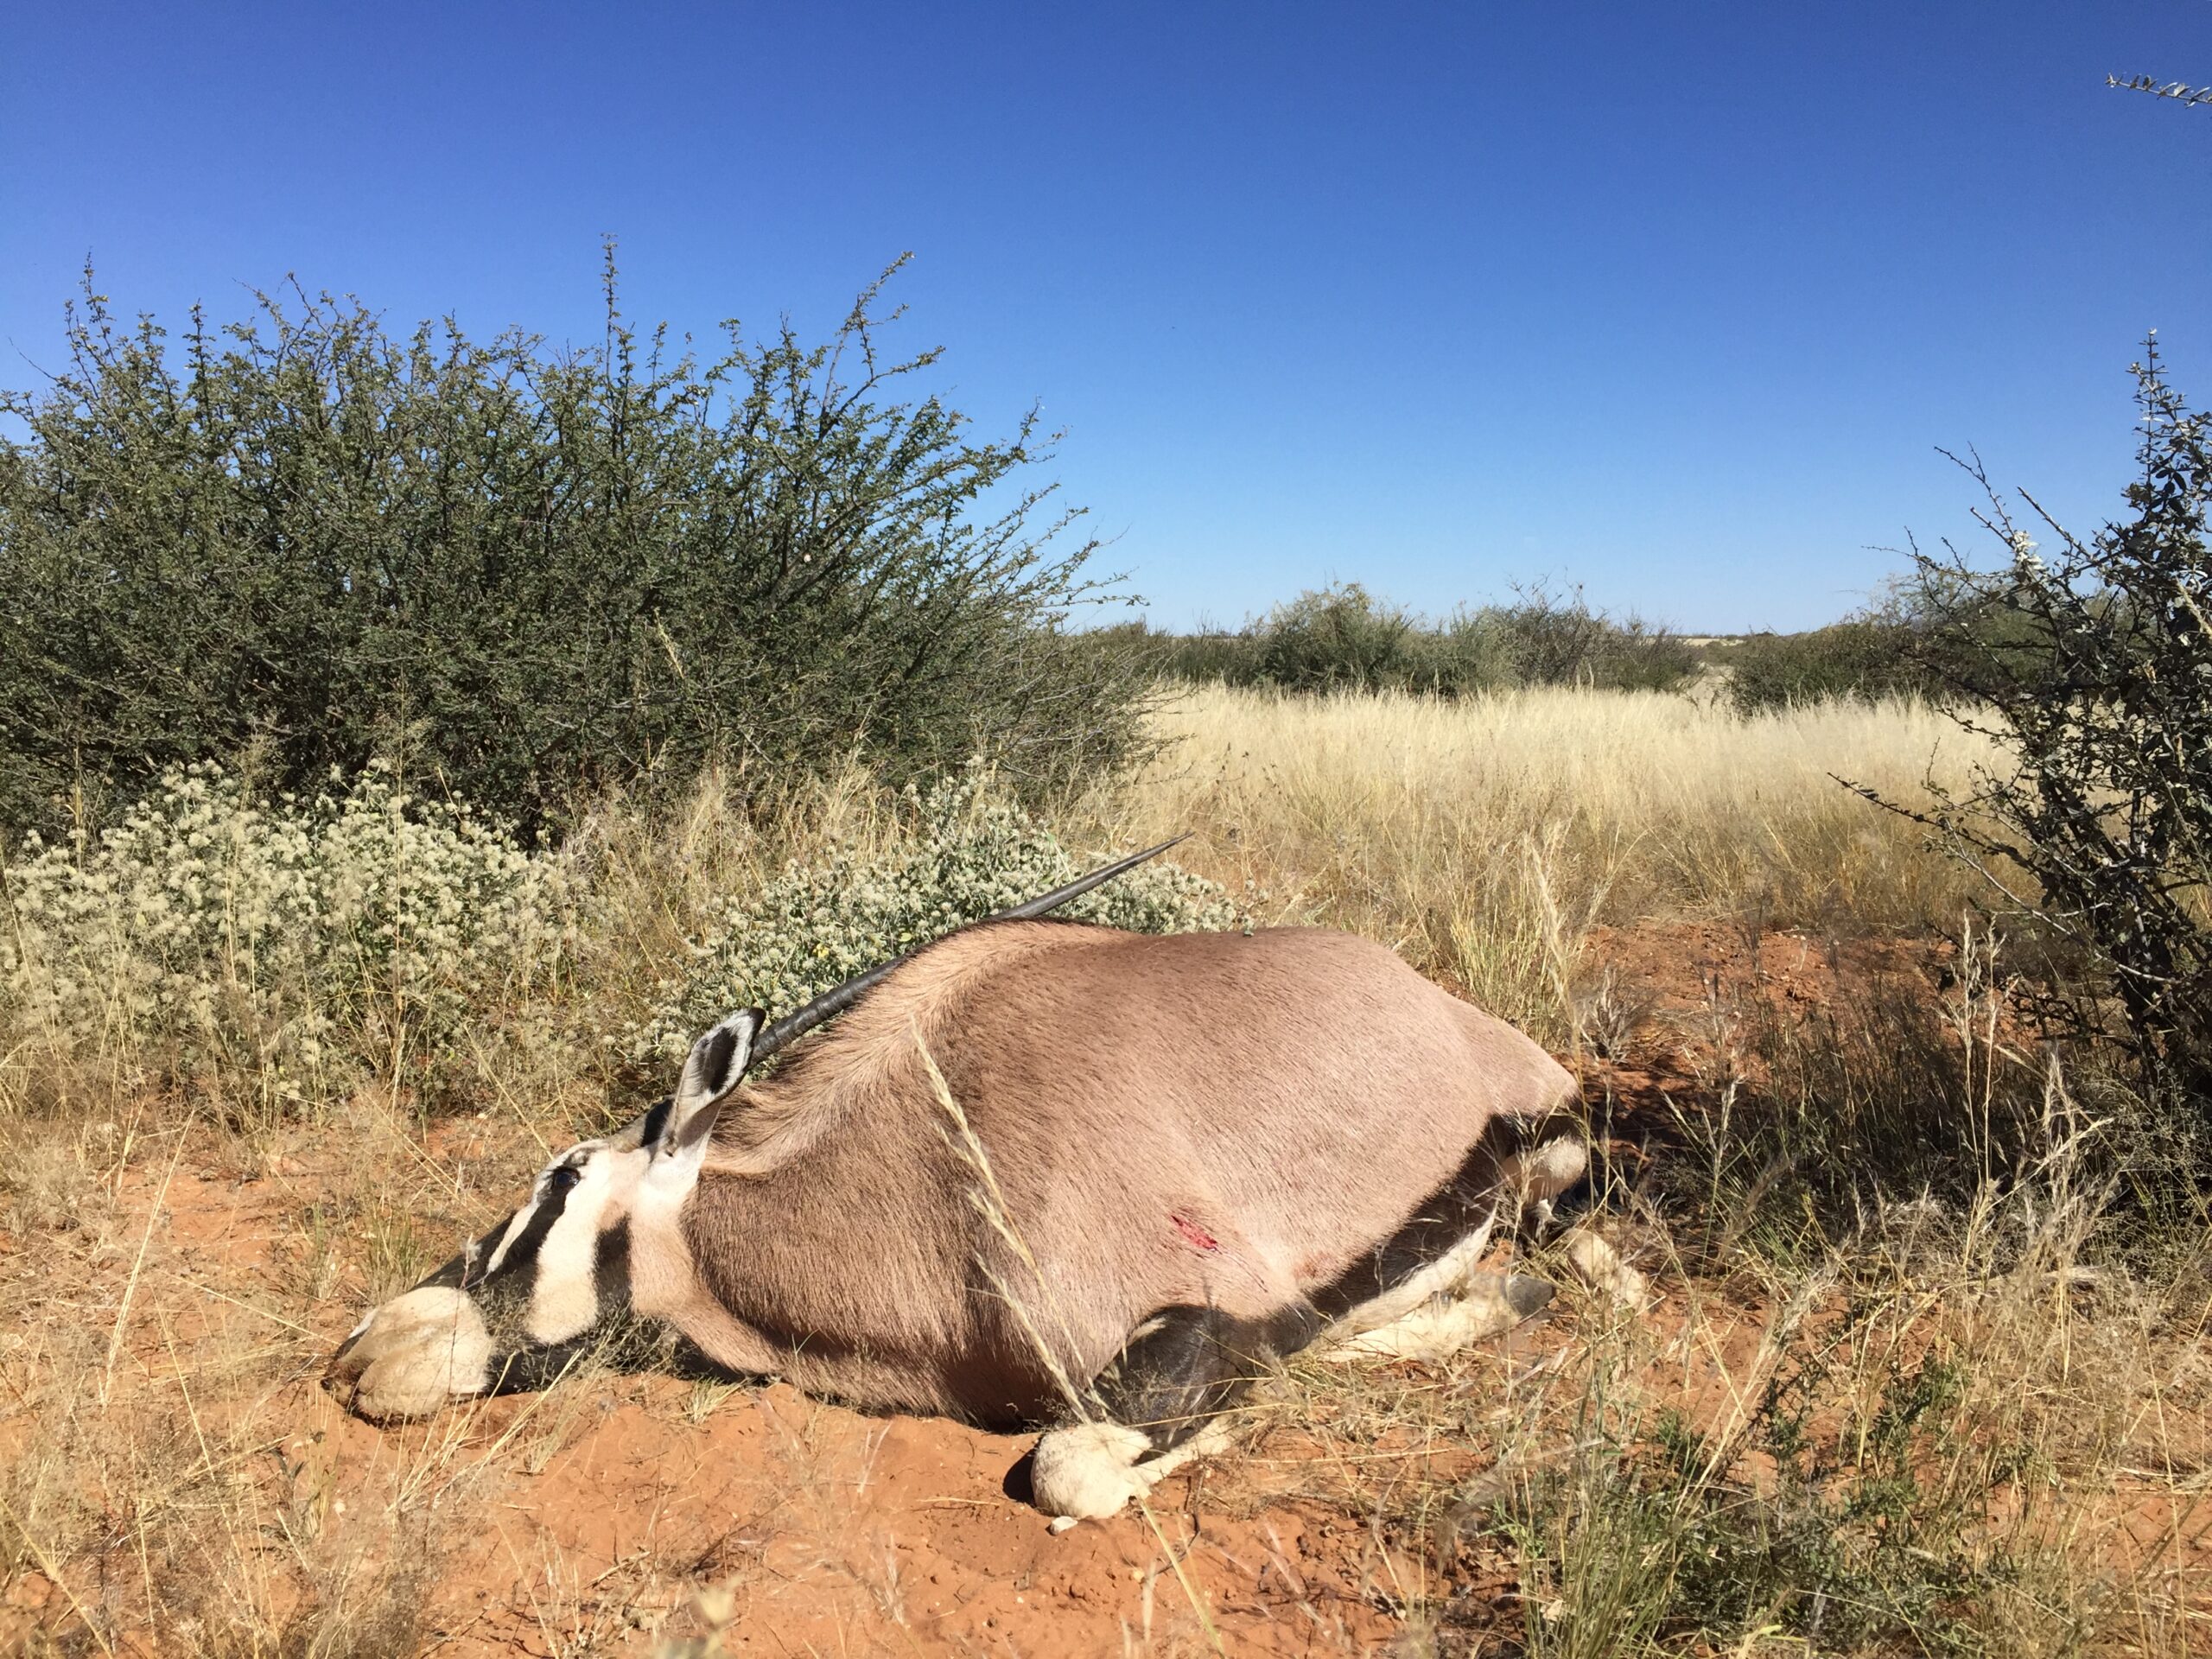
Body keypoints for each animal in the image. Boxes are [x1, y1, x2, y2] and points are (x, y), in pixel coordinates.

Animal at [327, 844, 1645, 1522]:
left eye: (561, 1177)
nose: (357, 1356)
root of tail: (1431, 1001)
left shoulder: (1184, 1327)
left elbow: (1071, 1473)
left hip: (1549, 1148)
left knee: (1584, 1250)